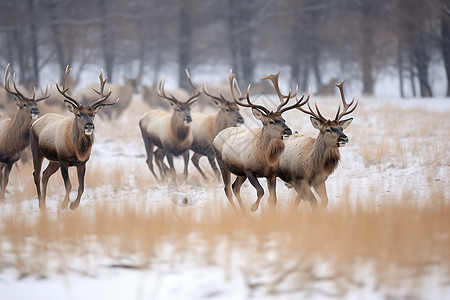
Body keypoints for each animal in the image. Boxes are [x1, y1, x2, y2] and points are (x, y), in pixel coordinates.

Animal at [0, 63, 50, 202]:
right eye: (24, 104)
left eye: (36, 104)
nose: (35, 111)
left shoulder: (10, 160)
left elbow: (5, 180)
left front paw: (2, 199)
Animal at [29, 67, 118, 210]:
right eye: (78, 114)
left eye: (93, 114)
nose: (89, 126)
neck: (76, 150)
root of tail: (33, 123)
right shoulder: (63, 159)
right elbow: (69, 185)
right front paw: (65, 204)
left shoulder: (82, 163)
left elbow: (81, 186)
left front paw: (74, 205)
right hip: (36, 150)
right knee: (36, 175)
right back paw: (41, 205)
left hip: (54, 160)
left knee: (45, 174)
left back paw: (44, 203)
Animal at [213, 70, 308, 212]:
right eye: (271, 121)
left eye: (283, 119)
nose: (288, 130)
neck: (265, 159)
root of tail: (217, 136)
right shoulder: (249, 170)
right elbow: (260, 191)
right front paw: (253, 207)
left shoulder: (272, 174)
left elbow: (273, 199)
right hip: (223, 165)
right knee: (227, 189)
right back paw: (238, 211)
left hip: (240, 173)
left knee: (235, 187)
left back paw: (243, 212)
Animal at [278, 81, 358, 210]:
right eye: (328, 129)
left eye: (341, 128)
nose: (344, 138)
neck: (313, 166)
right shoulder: (300, 180)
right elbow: (313, 202)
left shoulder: (319, 181)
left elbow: (324, 200)